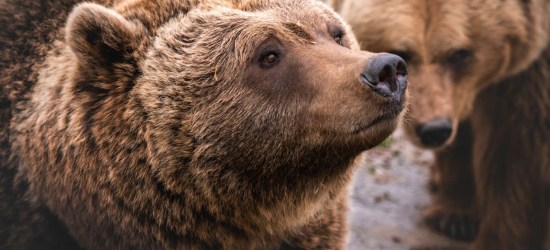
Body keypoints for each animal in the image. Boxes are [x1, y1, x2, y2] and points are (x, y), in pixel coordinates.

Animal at [332, 0, 550, 249]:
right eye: (402, 53)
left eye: (459, 54)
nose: (434, 131)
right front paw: (454, 217)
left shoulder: (527, 78)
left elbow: (516, 148)